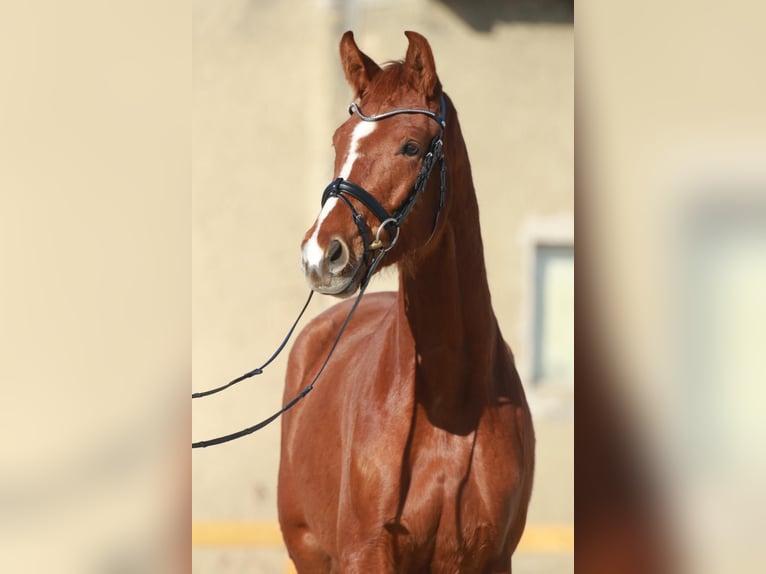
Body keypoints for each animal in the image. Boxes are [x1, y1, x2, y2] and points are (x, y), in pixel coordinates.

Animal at [277, 31, 535, 573]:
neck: (451, 408)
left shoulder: (488, 558)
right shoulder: (367, 553)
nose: (320, 255)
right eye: (338, 141)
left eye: (411, 146)